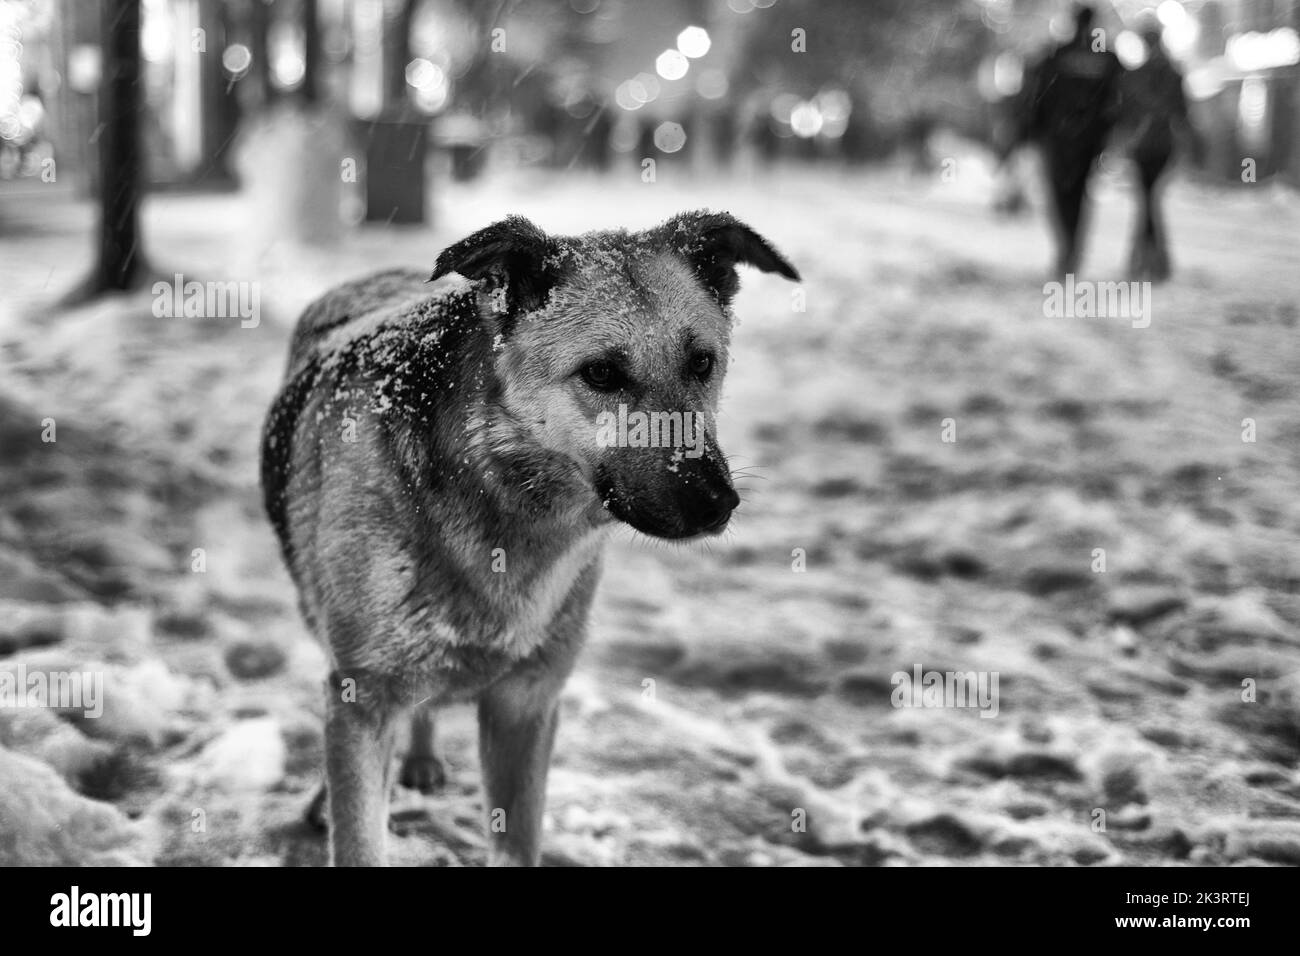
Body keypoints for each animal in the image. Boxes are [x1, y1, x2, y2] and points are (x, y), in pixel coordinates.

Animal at [258, 209, 795, 868]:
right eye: (601, 373)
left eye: (701, 362)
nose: (716, 504)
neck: (500, 497)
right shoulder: (365, 694)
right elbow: (357, 829)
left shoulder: (527, 703)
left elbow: (517, 840)